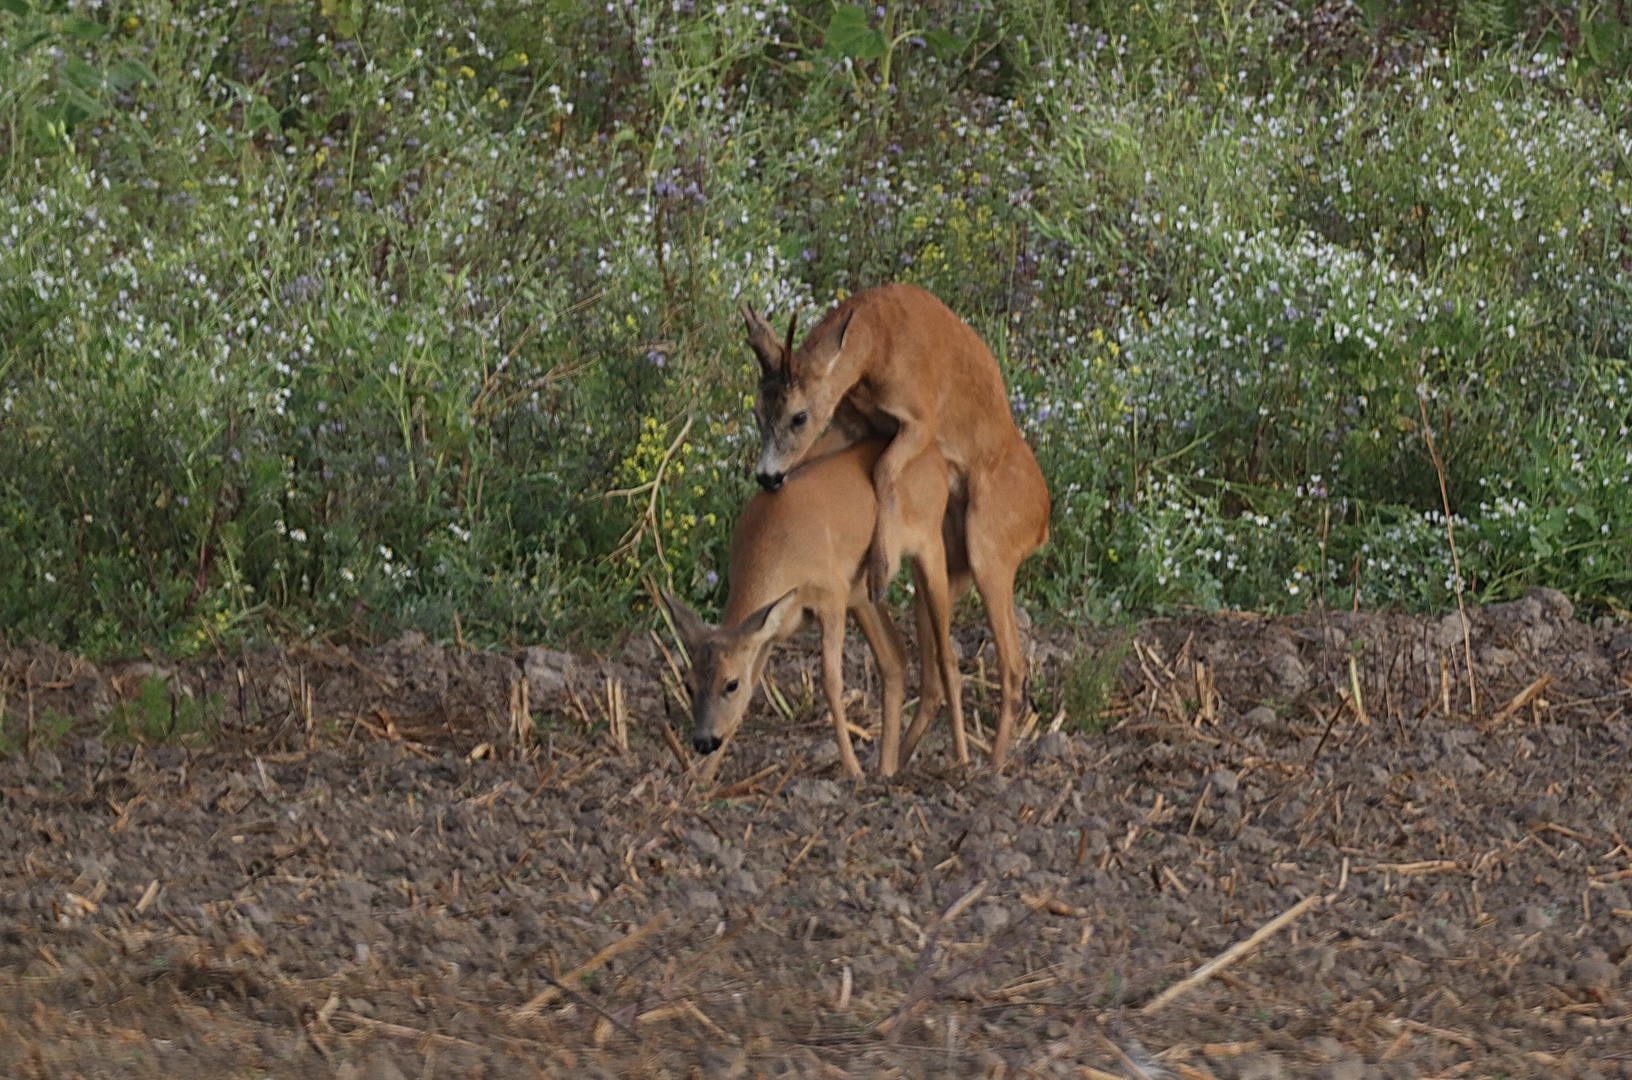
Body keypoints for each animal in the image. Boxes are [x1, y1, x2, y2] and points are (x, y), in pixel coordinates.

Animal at [662, 437, 966, 779]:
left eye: (730, 684)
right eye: (688, 685)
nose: (704, 741)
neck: (779, 552)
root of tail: (935, 454)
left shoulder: (832, 595)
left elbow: (831, 682)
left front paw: (852, 769)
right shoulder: (769, 629)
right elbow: (752, 690)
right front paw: (702, 779)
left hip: (929, 544)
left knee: (948, 660)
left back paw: (964, 760)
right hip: (863, 594)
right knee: (894, 660)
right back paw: (886, 768)